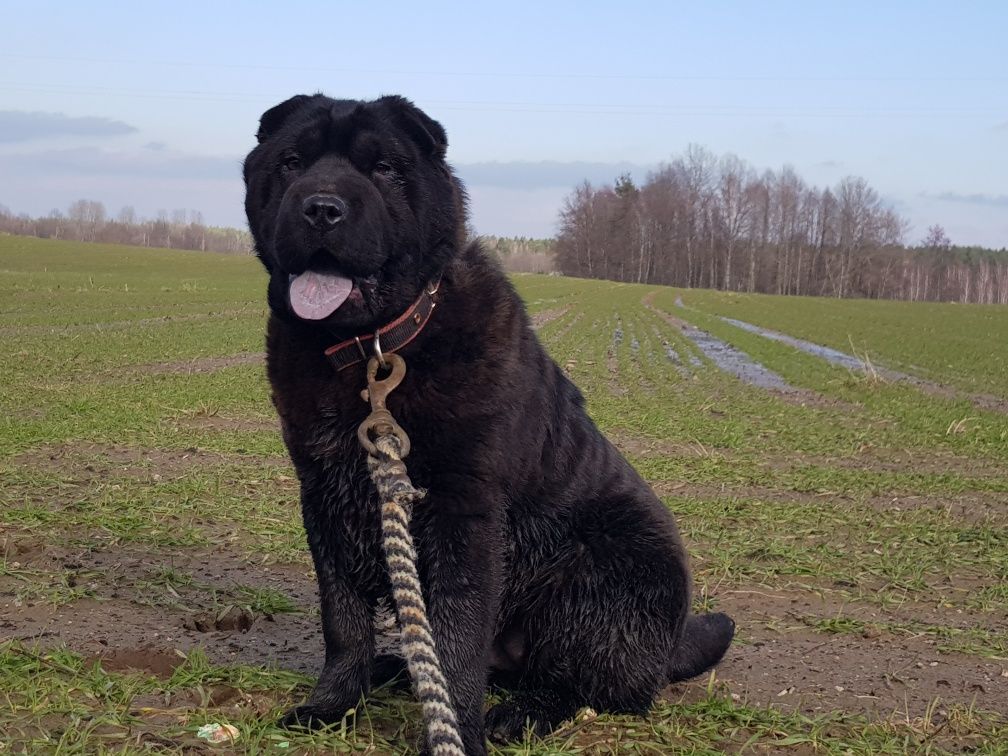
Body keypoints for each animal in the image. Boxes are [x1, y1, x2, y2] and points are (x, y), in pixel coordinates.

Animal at [243, 96, 733, 756]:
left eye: (384, 168)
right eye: (292, 161)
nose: (322, 207)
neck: (376, 349)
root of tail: (668, 649)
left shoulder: (463, 510)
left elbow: (457, 636)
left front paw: (456, 734)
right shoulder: (324, 494)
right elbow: (342, 617)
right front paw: (331, 704)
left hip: (604, 574)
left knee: (579, 684)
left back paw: (519, 714)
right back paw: (394, 669)